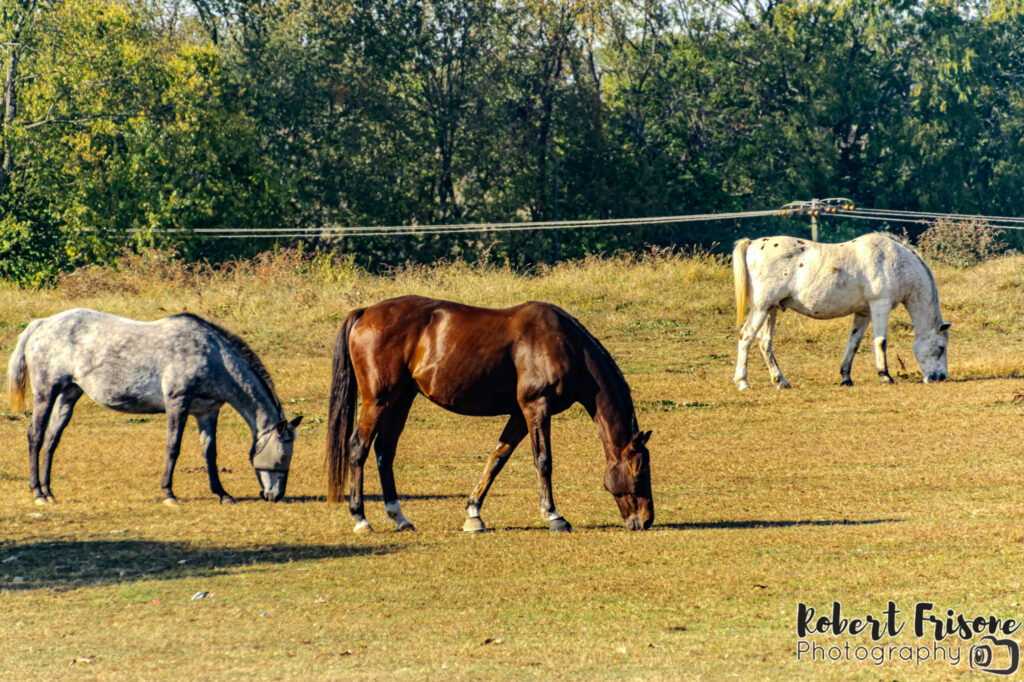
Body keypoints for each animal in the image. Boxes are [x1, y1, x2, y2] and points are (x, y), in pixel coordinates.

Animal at [9, 307, 303, 503]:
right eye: (282, 455)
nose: (276, 495)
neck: (213, 356)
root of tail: (41, 324)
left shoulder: (207, 411)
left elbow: (210, 453)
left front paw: (222, 494)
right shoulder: (177, 402)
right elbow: (173, 447)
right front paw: (169, 493)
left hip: (69, 393)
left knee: (52, 439)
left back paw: (49, 492)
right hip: (46, 392)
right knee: (35, 437)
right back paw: (38, 493)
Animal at [323, 294, 651, 532]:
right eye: (639, 469)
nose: (646, 519)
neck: (565, 345)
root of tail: (365, 312)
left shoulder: (520, 414)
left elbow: (497, 459)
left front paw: (473, 513)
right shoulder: (536, 407)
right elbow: (543, 460)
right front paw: (554, 515)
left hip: (401, 399)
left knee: (385, 451)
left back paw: (399, 517)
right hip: (378, 400)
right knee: (359, 448)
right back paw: (361, 519)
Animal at [733, 231, 946, 387]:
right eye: (941, 347)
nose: (940, 377)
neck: (896, 260)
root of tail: (752, 244)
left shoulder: (864, 312)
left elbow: (853, 343)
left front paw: (846, 378)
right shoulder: (880, 305)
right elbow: (881, 342)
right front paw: (885, 376)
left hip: (771, 309)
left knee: (764, 343)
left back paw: (780, 381)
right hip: (761, 309)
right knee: (745, 337)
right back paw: (743, 382)